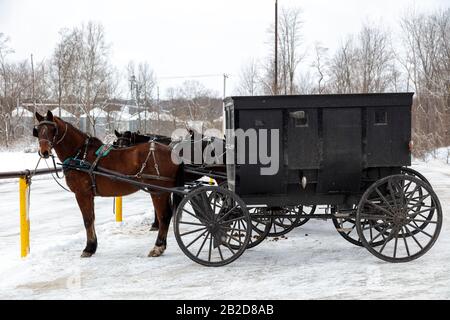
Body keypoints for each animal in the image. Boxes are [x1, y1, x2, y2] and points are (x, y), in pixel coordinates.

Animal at [33, 110, 181, 258]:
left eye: (53, 129)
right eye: (38, 131)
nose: (44, 152)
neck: (80, 155)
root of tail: (172, 152)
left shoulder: (82, 194)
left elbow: (87, 220)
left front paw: (88, 248)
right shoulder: (89, 195)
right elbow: (92, 219)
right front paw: (93, 246)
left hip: (158, 191)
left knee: (164, 216)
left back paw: (158, 247)